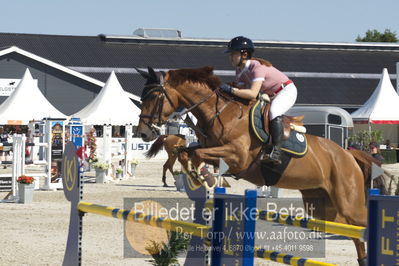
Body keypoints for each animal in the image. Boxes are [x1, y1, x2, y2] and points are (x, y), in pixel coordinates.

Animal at [137, 66, 382, 264]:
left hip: (347, 202)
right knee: (353, 232)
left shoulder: (237, 157)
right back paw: (362, 260)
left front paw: (202, 176)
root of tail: (348, 154)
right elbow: (187, 152)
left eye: (154, 95)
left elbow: (196, 153)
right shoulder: (217, 153)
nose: (143, 132)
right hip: (323, 207)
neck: (222, 113)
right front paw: (199, 176)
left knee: (361, 224)